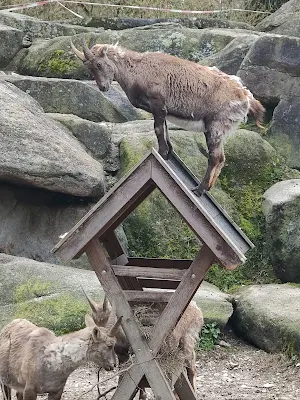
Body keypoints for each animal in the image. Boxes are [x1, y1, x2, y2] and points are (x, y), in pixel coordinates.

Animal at [71, 40, 264, 195]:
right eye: (88, 67)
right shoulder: (162, 111)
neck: (136, 69)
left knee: (215, 157)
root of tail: (245, 97)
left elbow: (157, 130)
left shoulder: (158, 105)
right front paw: (169, 153)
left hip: (216, 125)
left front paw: (163, 153)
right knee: (222, 158)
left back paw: (199, 189)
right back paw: (206, 188)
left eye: (99, 64)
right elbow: (164, 129)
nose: (103, 87)